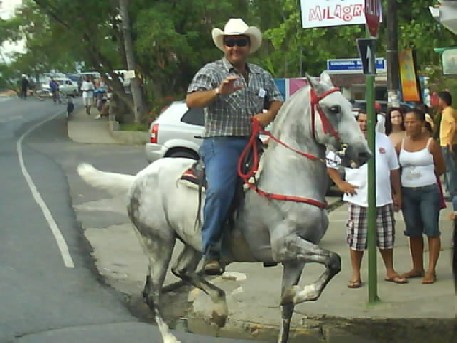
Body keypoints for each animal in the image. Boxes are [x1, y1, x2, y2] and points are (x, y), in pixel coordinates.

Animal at [78, 71, 370, 342]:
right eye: (334, 108)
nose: (363, 153)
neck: (288, 175)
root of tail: (137, 179)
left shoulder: (294, 257)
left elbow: (288, 306)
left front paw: (293, 295)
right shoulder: (285, 245)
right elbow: (334, 260)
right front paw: (303, 292)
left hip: (194, 241)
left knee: (183, 270)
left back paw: (219, 308)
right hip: (158, 243)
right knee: (152, 292)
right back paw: (172, 335)